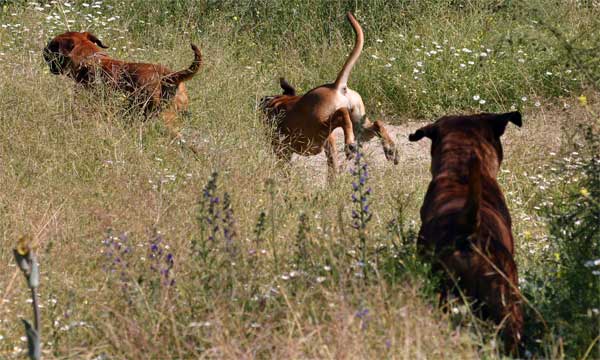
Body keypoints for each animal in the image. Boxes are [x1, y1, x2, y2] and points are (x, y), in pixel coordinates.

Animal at [258, 13, 398, 177]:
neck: (279, 102)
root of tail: (337, 86)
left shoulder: (283, 152)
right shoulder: (328, 145)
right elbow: (332, 166)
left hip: (319, 126)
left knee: (342, 114)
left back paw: (350, 145)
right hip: (360, 127)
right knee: (376, 124)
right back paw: (390, 148)